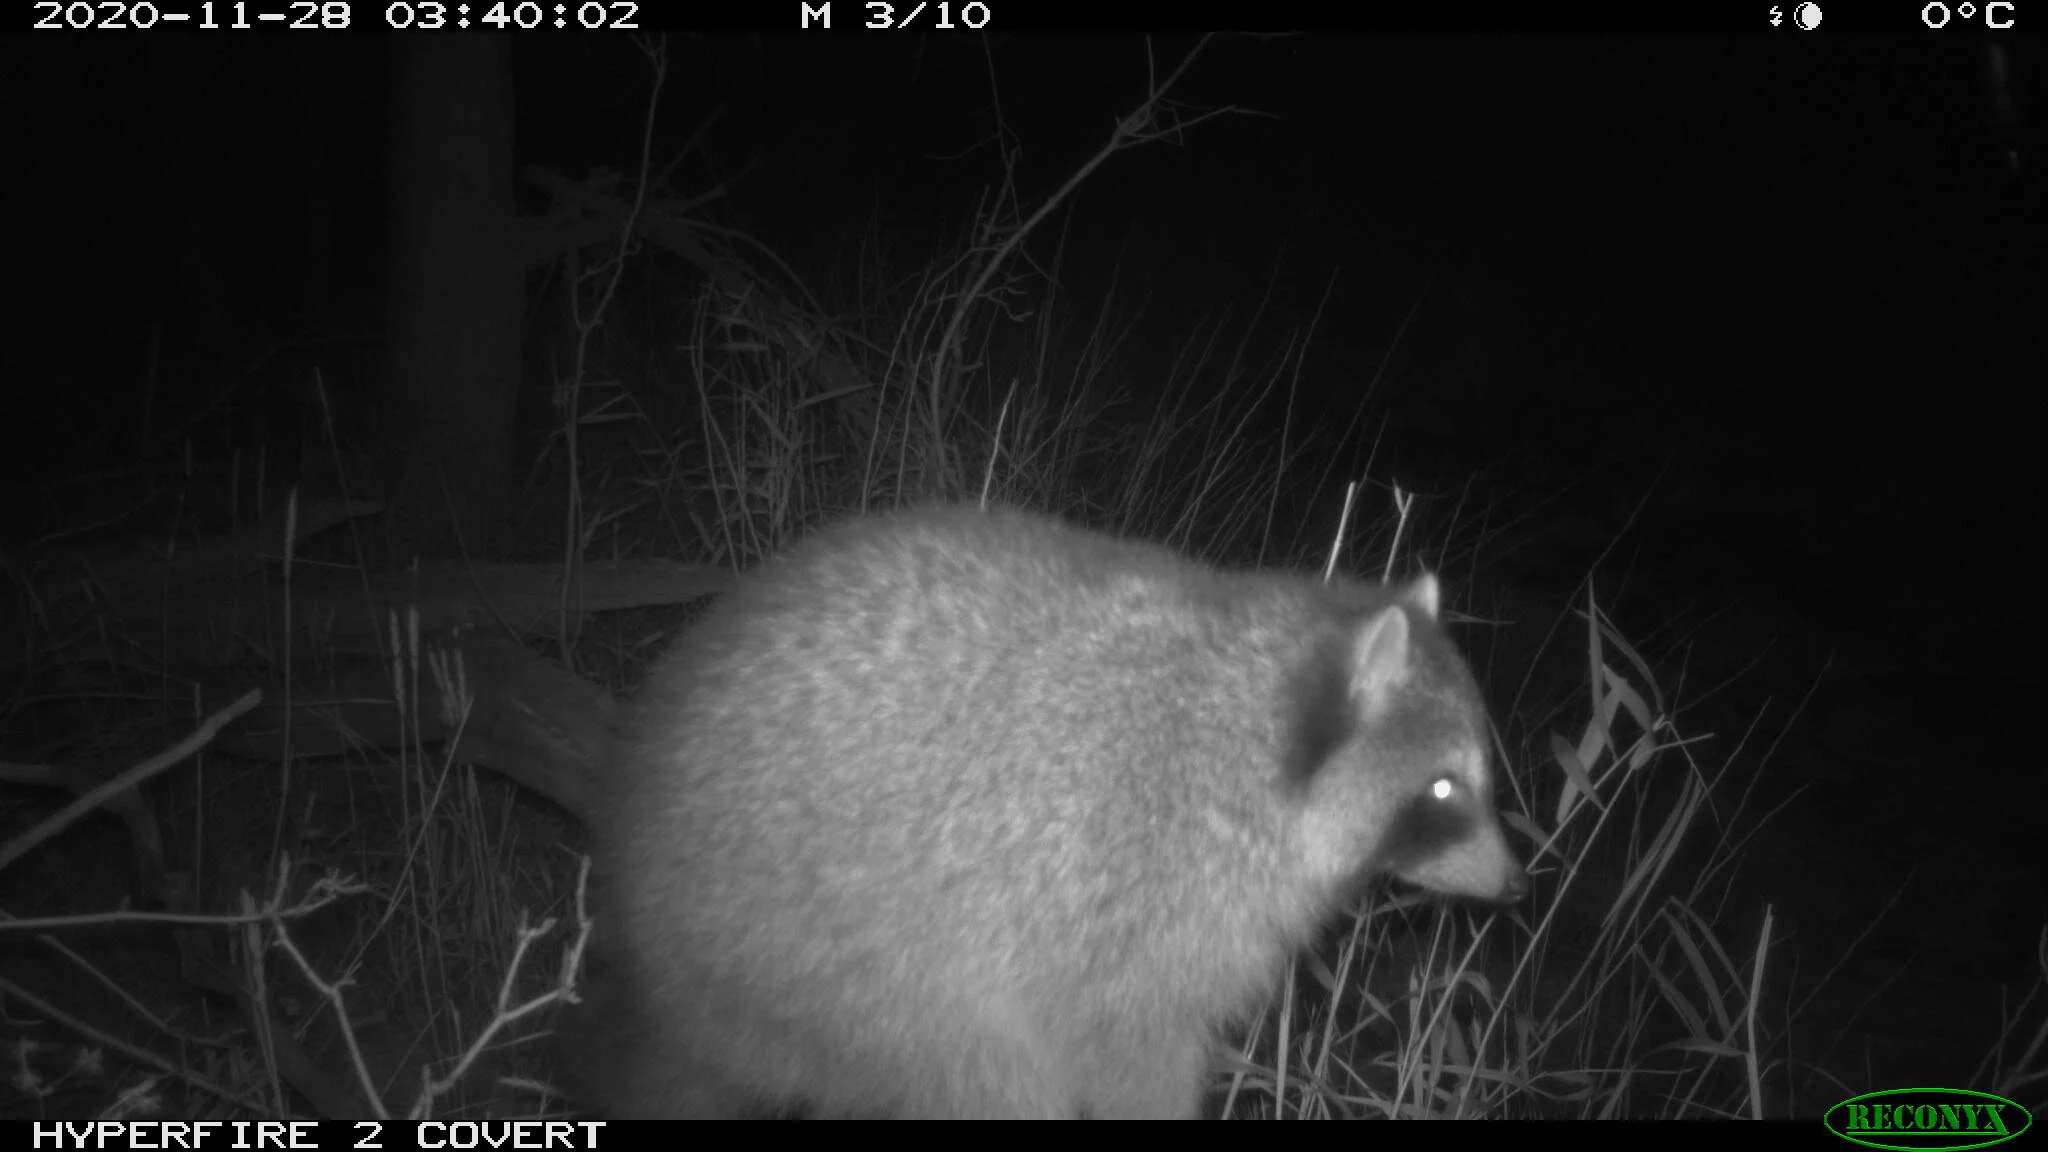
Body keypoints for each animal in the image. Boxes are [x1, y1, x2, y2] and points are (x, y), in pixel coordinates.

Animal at [579, 504, 1524, 1119]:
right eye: (1445, 789)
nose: (1518, 886)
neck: (1249, 724)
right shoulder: (1127, 906)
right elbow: (1128, 1058)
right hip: (831, 964)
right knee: (985, 1077)